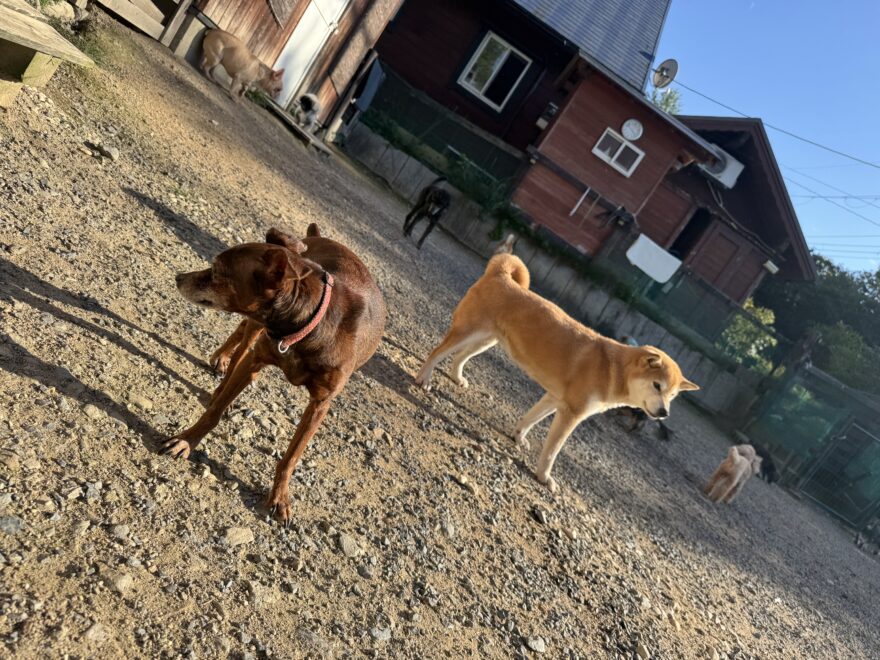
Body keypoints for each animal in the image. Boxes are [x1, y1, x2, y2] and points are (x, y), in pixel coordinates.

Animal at [164, 225, 386, 523]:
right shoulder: (256, 359)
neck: (307, 325)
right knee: (242, 342)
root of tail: (318, 235)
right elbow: (213, 413)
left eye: (217, 271)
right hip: (256, 330)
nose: (179, 277)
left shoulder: (321, 403)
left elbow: (291, 457)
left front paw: (279, 497)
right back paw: (222, 367)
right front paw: (186, 441)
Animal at [414, 253, 699, 493]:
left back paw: (456, 377)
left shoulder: (554, 398)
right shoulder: (570, 414)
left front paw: (518, 437)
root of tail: (501, 275)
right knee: (437, 352)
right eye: (657, 386)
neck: (612, 369)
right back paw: (424, 379)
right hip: (468, 331)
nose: (664, 413)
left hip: (486, 340)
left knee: (459, 357)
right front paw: (544, 477)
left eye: (672, 396)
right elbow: (552, 451)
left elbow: (529, 420)